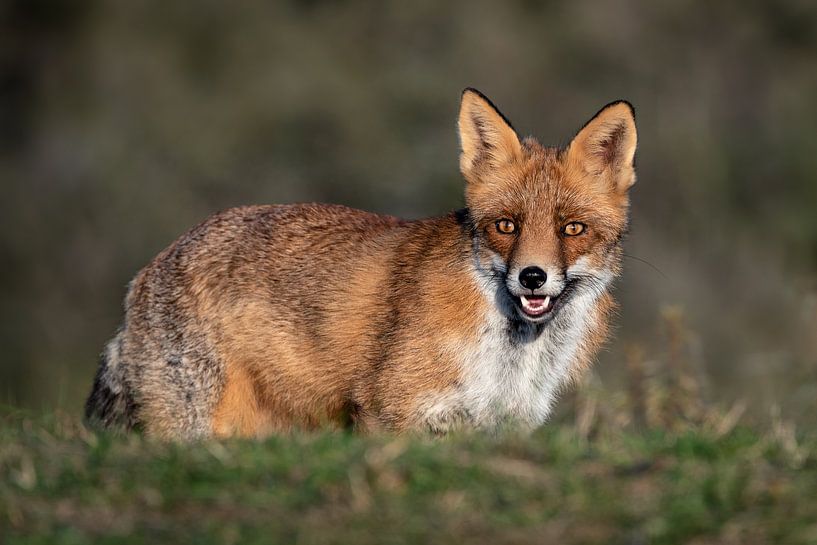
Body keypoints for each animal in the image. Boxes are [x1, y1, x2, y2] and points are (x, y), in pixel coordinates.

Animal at [84, 88, 637, 439]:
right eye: (506, 226)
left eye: (572, 229)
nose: (532, 277)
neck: (508, 360)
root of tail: (150, 267)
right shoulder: (386, 412)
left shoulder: (496, 428)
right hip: (191, 426)